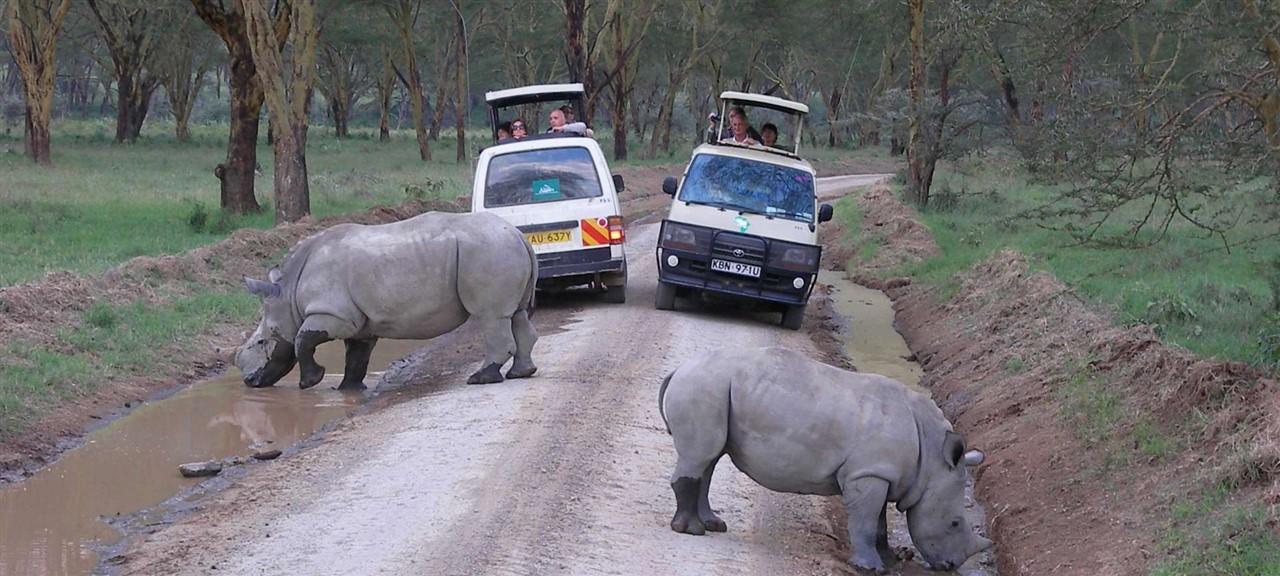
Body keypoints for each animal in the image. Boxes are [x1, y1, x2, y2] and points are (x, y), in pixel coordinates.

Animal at [233, 211, 539, 390]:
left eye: (261, 342)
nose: (250, 381)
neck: (287, 294)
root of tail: (519, 235)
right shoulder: (359, 322)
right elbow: (356, 355)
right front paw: (348, 390)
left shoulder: (334, 314)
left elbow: (302, 340)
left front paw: (310, 382)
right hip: (500, 248)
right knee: (516, 314)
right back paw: (521, 374)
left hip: (488, 250)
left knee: (491, 316)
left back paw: (480, 379)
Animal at [659, 346, 992, 572]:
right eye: (954, 523)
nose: (950, 566)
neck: (933, 457)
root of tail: (680, 369)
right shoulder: (867, 474)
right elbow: (866, 523)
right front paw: (870, 568)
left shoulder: (878, 472)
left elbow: (879, 522)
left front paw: (889, 561)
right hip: (703, 386)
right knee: (701, 455)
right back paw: (691, 531)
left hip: (712, 387)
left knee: (708, 459)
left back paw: (713, 525)